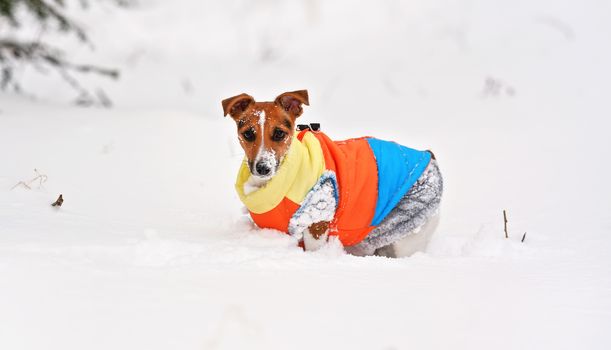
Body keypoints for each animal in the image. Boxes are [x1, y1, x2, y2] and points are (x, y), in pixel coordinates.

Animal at [222, 89, 442, 256]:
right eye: (248, 134)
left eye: (279, 133)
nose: (263, 167)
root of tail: (428, 157)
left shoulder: (316, 220)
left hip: (408, 229)